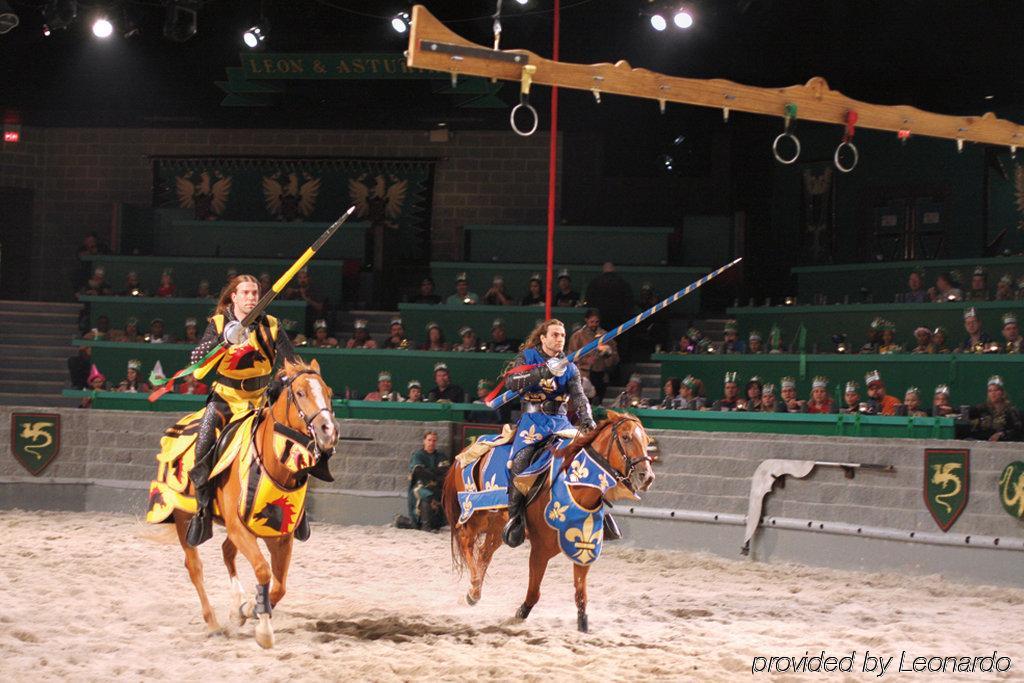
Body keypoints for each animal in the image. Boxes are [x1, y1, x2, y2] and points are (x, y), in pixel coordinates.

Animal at [169, 356, 337, 651]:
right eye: (300, 393)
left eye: (328, 392)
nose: (328, 431)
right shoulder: (240, 529)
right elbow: (262, 570)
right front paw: (262, 627)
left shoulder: (280, 536)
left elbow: (278, 586)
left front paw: (247, 609)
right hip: (183, 518)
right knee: (195, 567)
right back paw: (213, 623)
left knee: (227, 552)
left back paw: (236, 605)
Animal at [442, 409, 655, 634]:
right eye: (626, 437)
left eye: (647, 440)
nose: (646, 477)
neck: (576, 486)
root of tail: (466, 450)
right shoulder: (540, 550)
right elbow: (534, 592)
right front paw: (520, 614)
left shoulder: (584, 547)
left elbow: (581, 595)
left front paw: (583, 625)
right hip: (475, 514)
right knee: (466, 541)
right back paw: (473, 588)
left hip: (498, 526)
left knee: (484, 553)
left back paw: (474, 592)